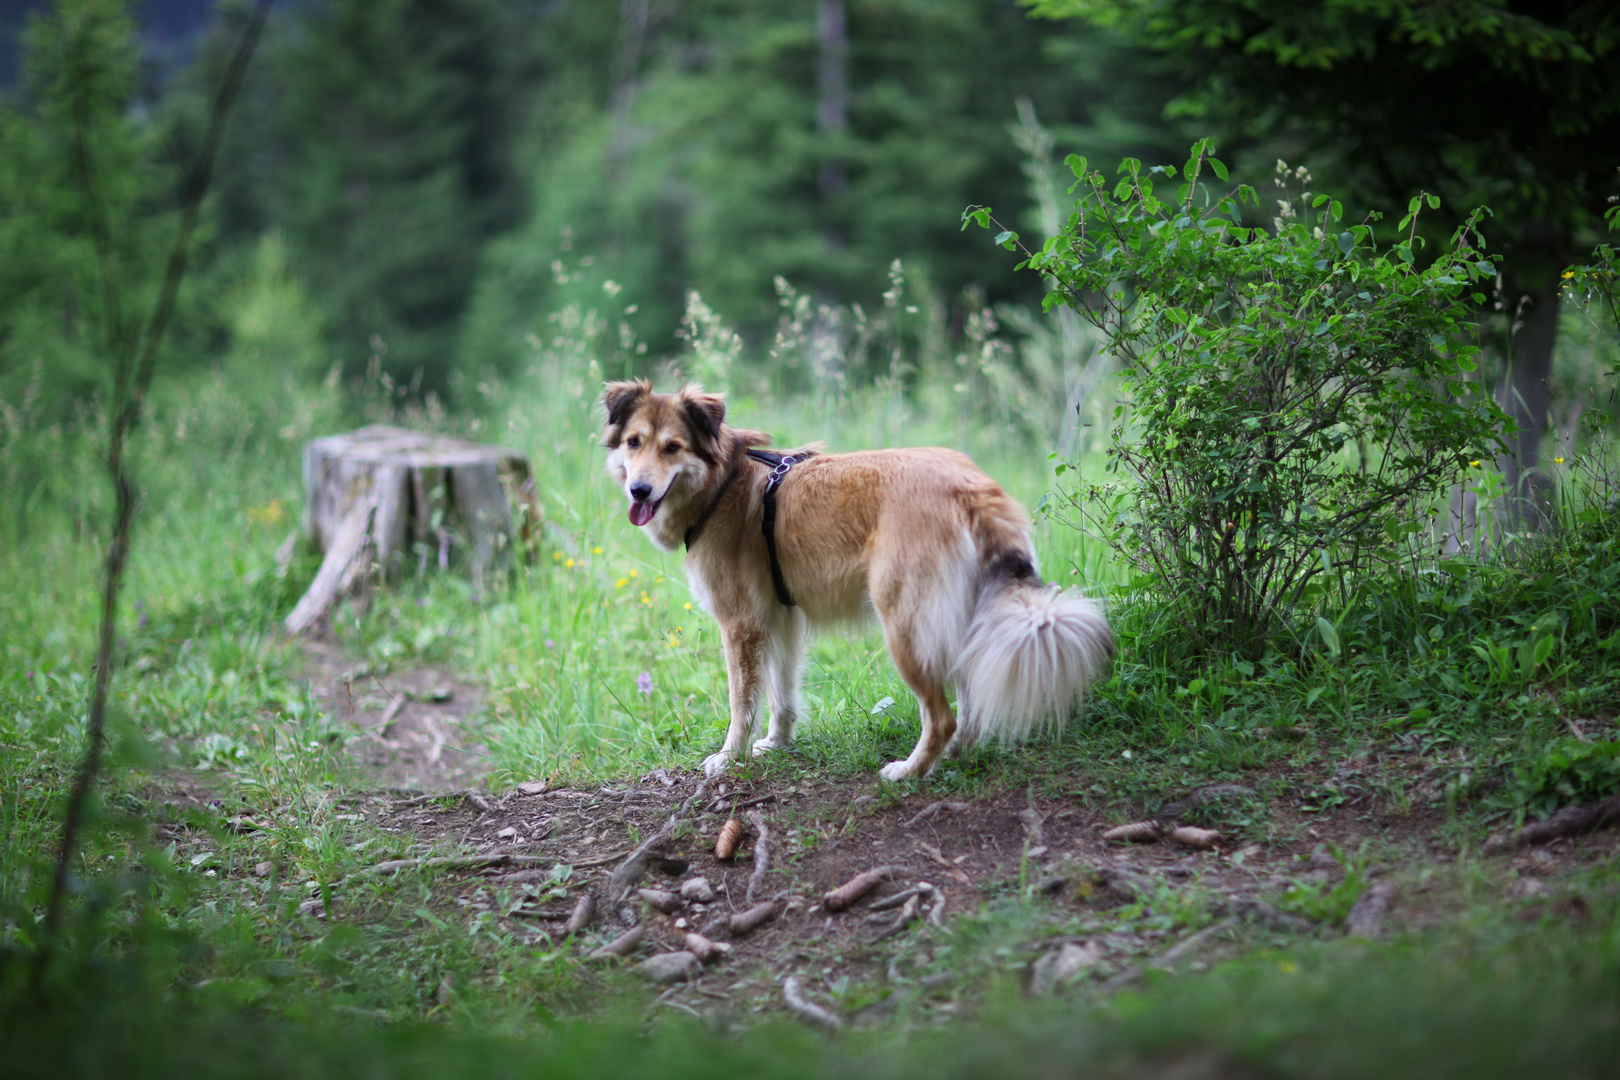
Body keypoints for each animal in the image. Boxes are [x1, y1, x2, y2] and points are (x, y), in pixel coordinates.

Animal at [599, 383, 1114, 780]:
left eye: (672, 447)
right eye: (634, 442)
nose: (639, 490)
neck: (722, 482)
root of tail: (970, 488)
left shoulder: (741, 625)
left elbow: (741, 703)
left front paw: (729, 758)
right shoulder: (782, 619)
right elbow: (781, 691)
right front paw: (777, 743)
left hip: (905, 627)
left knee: (942, 717)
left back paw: (910, 771)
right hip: (955, 618)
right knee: (966, 709)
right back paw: (951, 757)